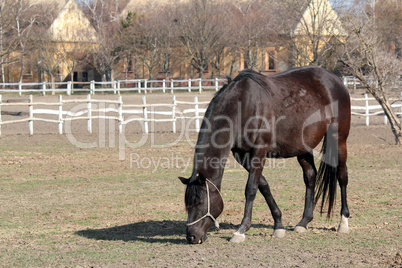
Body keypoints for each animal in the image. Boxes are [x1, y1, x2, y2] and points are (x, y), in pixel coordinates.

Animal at [177, 66, 350, 243]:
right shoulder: (242, 155)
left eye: (199, 201)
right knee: (310, 176)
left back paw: (343, 222)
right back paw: (303, 222)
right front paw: (278, 224)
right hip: (302, 147)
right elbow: (263, 186)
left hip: (339, 139)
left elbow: (251, 188)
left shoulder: (259, 151)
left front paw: (241, 230)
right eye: (187, 204)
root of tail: (335, 80)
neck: (242, 106)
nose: (191, 236)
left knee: (342, 176)